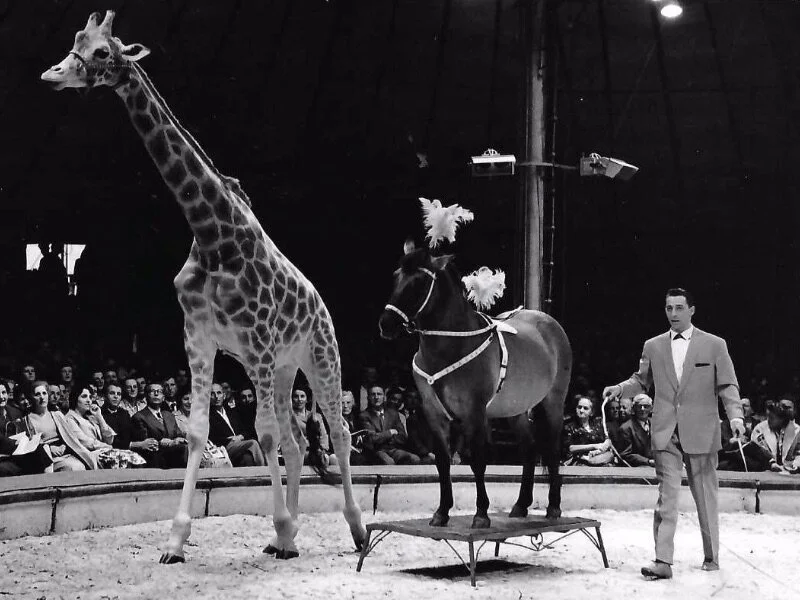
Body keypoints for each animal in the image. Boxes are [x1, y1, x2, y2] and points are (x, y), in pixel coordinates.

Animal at [41, 11, 366, 563]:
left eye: (104, 52)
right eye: (76, 40)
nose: (53, 74)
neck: (213, 235)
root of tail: (321, 304)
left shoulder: (256, 341)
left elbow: (263, 434)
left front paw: (281, 526)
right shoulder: (199, 337)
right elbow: (197, 433)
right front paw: (177, 540)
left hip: (318, 355)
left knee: (337, 433)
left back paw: (356, 531)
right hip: (283, 368)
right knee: (299, 439)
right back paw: (286, 540)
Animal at [378, 246, 572, 529]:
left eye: (420, 282)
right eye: (396, 277)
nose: (386, 324)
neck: (451, 346)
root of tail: (548, 323)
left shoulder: (474, 413)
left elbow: (478, 461)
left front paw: (481, 514)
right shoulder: (434, 414)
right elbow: (443, 462)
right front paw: (442, 512)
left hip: (553, 403)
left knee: (553, 450)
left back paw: (554, 507)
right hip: (516, 410)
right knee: (529, 449)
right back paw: (521, 505)